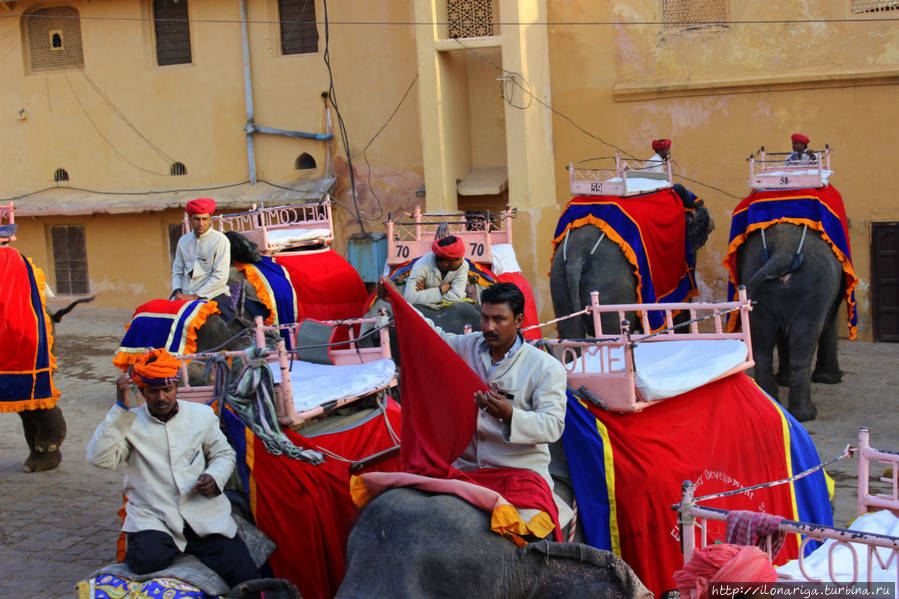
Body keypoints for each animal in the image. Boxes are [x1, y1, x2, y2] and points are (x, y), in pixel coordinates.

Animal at [736, 223, 848, 424]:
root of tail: (784, 250)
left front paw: (785, 381)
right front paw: (835, 378)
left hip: (758, 283)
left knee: (762, 340)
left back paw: (774, 402)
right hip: (815, 290)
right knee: (805, 341)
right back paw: (807, 414)